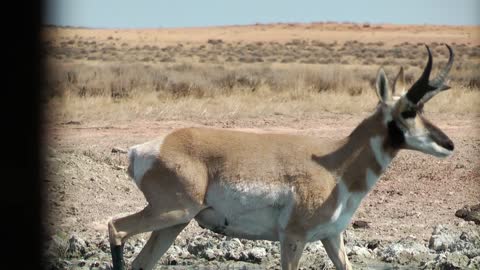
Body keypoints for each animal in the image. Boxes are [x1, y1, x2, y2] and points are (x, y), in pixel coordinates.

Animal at [108, 44, 454, 270]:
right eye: (408, 111)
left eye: (424, 108)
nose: (448, 144)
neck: (335, 166)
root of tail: (146, 148)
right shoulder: (292, 239)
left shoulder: (332, 238)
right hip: (171, 212)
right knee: (116, 227)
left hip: (174, 223)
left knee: (140, 261)